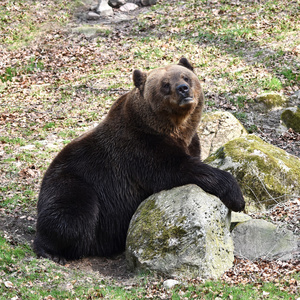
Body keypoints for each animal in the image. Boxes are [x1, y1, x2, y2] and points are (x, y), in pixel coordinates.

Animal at [33, 58, 244, 262]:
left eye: (186, 77)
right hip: (74, 184)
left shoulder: (190, 142)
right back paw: (52, 251)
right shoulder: (141, 148)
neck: (173, 128)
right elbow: (179, 170)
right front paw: (237, 197)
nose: (183, 89)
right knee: (73, 216)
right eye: (165, 84)